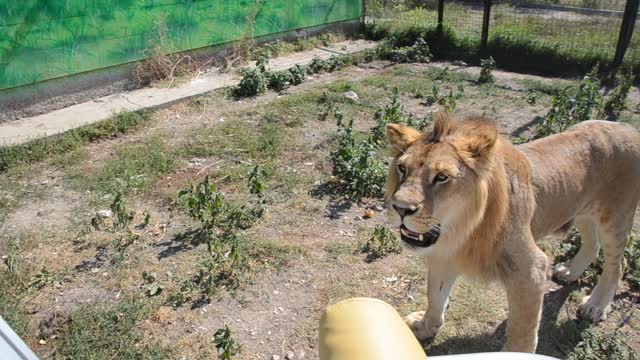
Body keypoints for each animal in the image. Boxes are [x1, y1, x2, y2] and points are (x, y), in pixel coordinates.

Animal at [384, 112, 640, 352]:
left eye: (442, 177)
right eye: (402, 168)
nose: (400, 208)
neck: (461, 229)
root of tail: (628, 127)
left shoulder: (530, 269)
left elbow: (522, 328)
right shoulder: (444, 256)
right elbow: (435, 297)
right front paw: (425, 326)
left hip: (615, 219)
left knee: (617, 264)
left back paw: (596, 305)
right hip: (582, 211)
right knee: (592, 244)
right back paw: (570, 271)